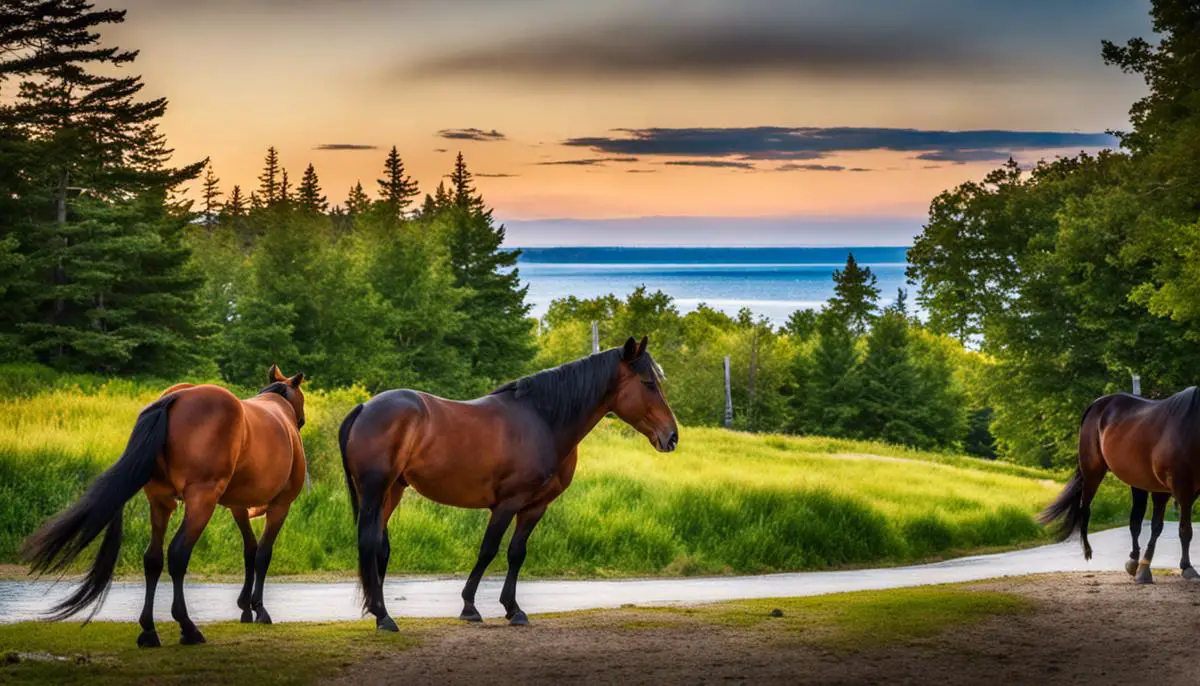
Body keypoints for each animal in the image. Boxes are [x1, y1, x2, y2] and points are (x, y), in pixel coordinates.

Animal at [23, 366, 307, 647]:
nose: (301, 420)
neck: (278, 407)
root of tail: (174, 398)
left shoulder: (237, 506)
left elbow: (249, 551)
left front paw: (246, 607)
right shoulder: (281, 505)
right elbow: (262, 555)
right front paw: (259, 609)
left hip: (159, 502)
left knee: (153, 558)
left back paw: (149, 630)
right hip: (201, 501)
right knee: (178, 553)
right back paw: (188, 627)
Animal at [340, 335, 676, 628]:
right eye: (648, 384)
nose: (671, 436)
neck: (543, 420)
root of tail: (364, 408)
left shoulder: (535, 506)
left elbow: (516, 553)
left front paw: (513, 609)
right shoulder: (507, 503)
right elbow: (488, 550)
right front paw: (470, 607)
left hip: (392, 491)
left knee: (380, 545)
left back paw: (379, 612)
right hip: (374, 491)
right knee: (368, 541)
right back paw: (384, 617)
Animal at [1036, 386, 1195, 585]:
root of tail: (1096, 404)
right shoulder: (1173, 489)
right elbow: (1175, 528)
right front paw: (1182, 568)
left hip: (1137, 482)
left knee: (1135, 520)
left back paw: (1133, 561)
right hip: (1093, 472)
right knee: (1085, 508)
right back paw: (1088, 551)